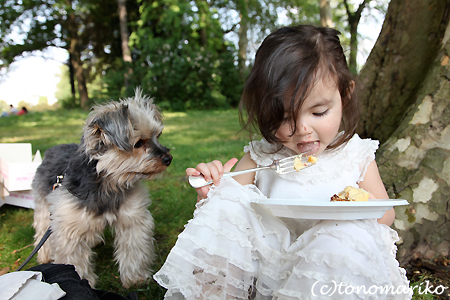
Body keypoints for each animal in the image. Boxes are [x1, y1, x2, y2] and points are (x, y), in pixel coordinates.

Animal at [31, 89, 172, 288]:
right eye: (138, 143)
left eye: (157, 136)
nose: (168, 159)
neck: (110, 183)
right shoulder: (70, 227)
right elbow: (74, 261)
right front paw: (84, 283)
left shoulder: (132, 219)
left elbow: (134, 250)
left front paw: (135, 279)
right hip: (44, 205)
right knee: (43, 226)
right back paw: (44, 255)